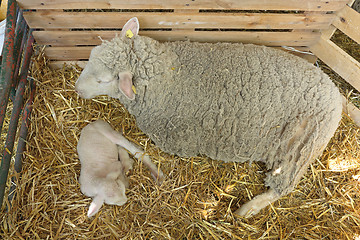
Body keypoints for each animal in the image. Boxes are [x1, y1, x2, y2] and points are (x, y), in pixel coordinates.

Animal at [75, 16, 344, 216]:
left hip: (300, 151)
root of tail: (336, 95)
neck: (167, 75)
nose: (77, 89)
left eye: (103, 80)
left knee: (282, 187)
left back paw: (247, 209)